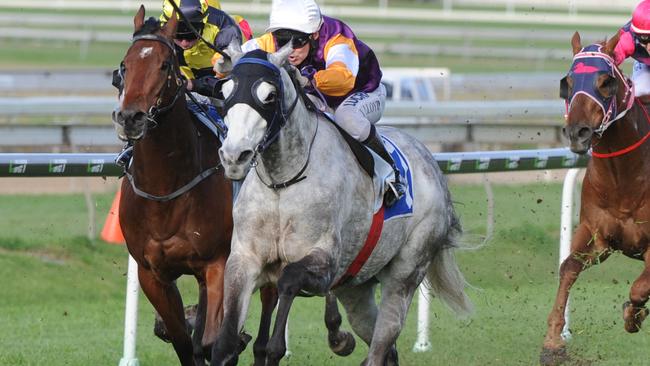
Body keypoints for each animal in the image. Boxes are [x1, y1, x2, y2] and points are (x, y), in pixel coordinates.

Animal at [114, 6, 276, 366]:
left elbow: (215, 343)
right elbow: (184, 343)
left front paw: (234, 343)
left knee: (269, 310)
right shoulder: (152, 273)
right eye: (124, 65)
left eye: (164, 64)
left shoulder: (219, 263)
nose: (131, 117)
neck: (165, 192)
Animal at [211, 42, 470, 364]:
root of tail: (432, 165)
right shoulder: (244, 260)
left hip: (407, 270)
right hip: (356, 288)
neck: (283, 183)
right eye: (225, 92)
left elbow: (288, 280)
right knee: (384, 347)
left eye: (269, 95)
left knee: (381, 345)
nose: (234, 156)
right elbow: (224, 342)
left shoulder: (325, 264)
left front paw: (278, 346)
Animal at [540, 33, 648, 364]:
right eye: (568, 82)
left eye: (606, 82)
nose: (578, 132)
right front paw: (553, 342)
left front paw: (633, 315)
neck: (624, 177)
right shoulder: (596, 234)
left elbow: (639, 289)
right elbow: (567, 268)